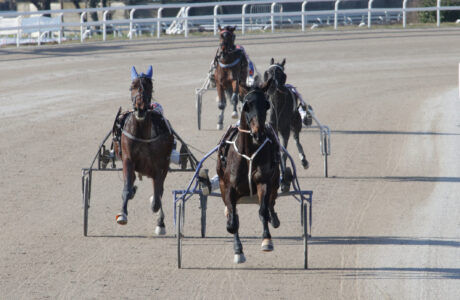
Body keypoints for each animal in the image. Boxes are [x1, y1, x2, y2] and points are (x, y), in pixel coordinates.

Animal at [113, 65, 174, 234]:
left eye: (149, 87)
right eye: (132, 87)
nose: (140, 108)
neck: (142, 135)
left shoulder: (160, 165)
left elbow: (157, 199)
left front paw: (160, 221)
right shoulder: (128, 159)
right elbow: (127, 187)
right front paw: (122, 214)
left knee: (159, 191)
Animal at [216, 78, 280, 264]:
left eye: (266, 104)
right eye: (247, 105)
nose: (258, 133)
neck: (248, 154)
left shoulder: (263, 182)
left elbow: (263, 210)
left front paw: (267, 240)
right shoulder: (229, 187)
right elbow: (233, 221)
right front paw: (238, 250)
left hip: (275, 180)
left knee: (271, 201)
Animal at [264, 57, 310, 191]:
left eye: (279, 72)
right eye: (268, 72)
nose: (271, 86)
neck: (277, 103)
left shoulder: (285, 130)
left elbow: (284, 152)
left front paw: (284, 180)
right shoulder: (272, 128)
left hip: (296, 124)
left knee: (297, 140)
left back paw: (304, 160)